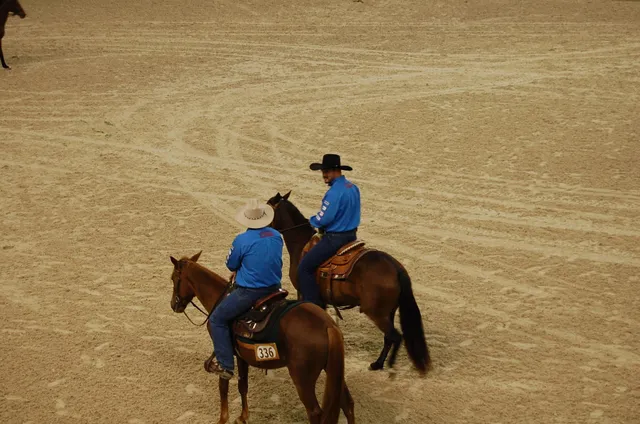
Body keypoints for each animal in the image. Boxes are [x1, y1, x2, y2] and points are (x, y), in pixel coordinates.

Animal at [168, 251, 355, 424]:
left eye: (174, 278)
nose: (173, 305)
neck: (219, 298)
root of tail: (328, 325)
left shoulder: (223, 351)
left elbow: (223, 386)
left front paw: (223, 419)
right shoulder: (241, 356)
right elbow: (243, 385)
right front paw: (243, 417)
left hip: (303, 379)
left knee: (315, 413)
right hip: (332, 371)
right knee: (347, 404)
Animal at [267, 191, 432, 374]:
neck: (301, 244)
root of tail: (395, 266)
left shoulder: (304, 293)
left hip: (376, 313)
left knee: (394, 336)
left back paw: (385, 366)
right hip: (388, 312)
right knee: (389, 337)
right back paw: (378, 364)